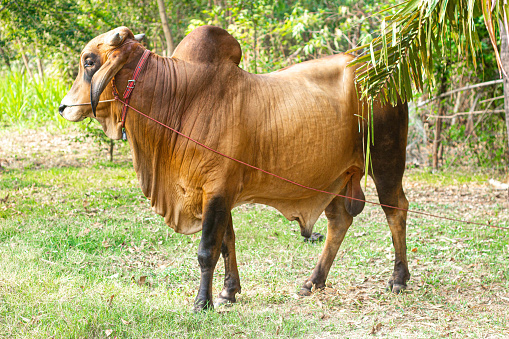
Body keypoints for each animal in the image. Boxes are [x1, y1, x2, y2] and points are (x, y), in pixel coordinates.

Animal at [59, 25, 408, 314]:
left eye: (89, 61)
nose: (63, 107)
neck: (179, 98)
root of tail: (386, 73)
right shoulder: (216, 193)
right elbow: (227, 242)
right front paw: (229, 291)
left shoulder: (217, 190)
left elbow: (207, 250)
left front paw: (203, 302)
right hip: (336, 176)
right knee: (340, 221)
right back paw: (313, 281)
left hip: (386, 160)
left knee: (396, 210)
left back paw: (399, 279)